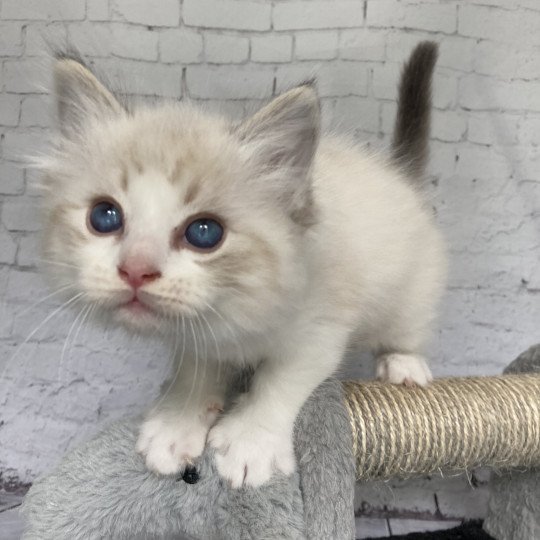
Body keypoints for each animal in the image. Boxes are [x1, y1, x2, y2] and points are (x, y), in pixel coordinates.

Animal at [40, 42, 448, 488]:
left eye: (204, 232)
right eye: (105, 217)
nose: (135, 270)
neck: (241, 311)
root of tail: (398, 175)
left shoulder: (320, 329)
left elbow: (281, 382)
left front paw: (250, 443)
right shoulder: (196, 334)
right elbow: (194, 372)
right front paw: (177, 426)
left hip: (411, 291)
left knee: (406, 328)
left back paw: (403, 364)